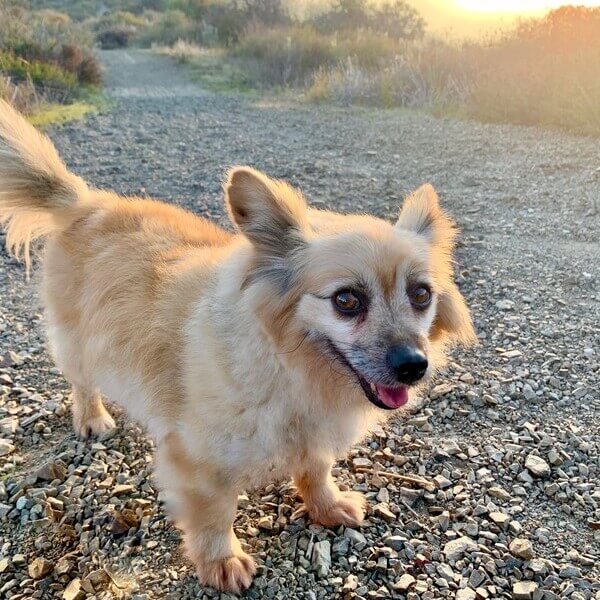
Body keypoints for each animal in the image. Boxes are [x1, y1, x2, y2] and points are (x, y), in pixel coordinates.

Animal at [1, 101, 478, 592]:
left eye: (421, 295)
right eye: (346, 300)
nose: (414, 366)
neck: (291, 366)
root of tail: (86, 202)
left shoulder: (314, 437)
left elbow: (316, 471)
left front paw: (326, 507)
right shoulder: (199, 463)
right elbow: (214, 516)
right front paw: (221, 561)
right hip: (79, 344)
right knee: (82, 383)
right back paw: (93, 418)